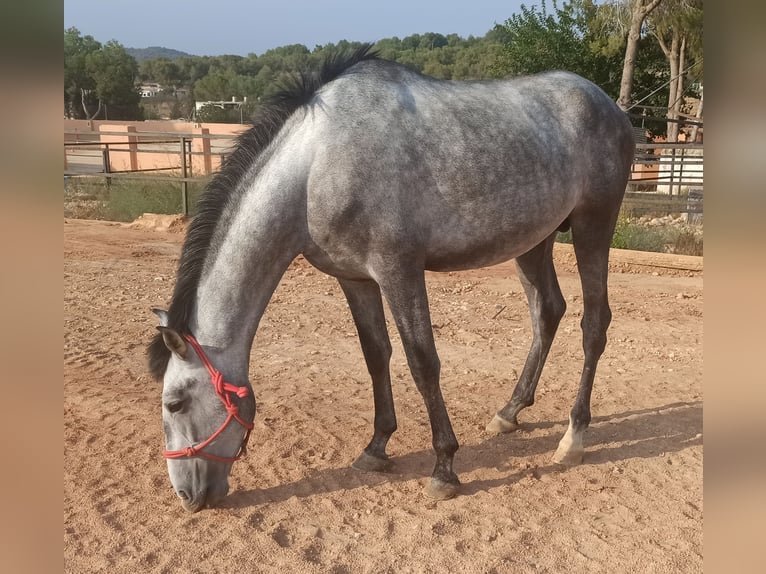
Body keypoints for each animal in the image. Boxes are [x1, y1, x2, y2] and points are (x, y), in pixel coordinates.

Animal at [148, 45, 636, 512]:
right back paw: (509, 412)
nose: (186, 496)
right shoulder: (355, 278)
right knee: (547, 312)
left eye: (175, 403)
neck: (316, 166)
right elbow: (376, 355)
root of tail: (609, 107)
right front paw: (377, 447)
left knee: (594, 325)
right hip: (533, 241)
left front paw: (444, 468)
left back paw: (573, 438)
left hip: (594, 226)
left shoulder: (398, 270)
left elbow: (422, 363)